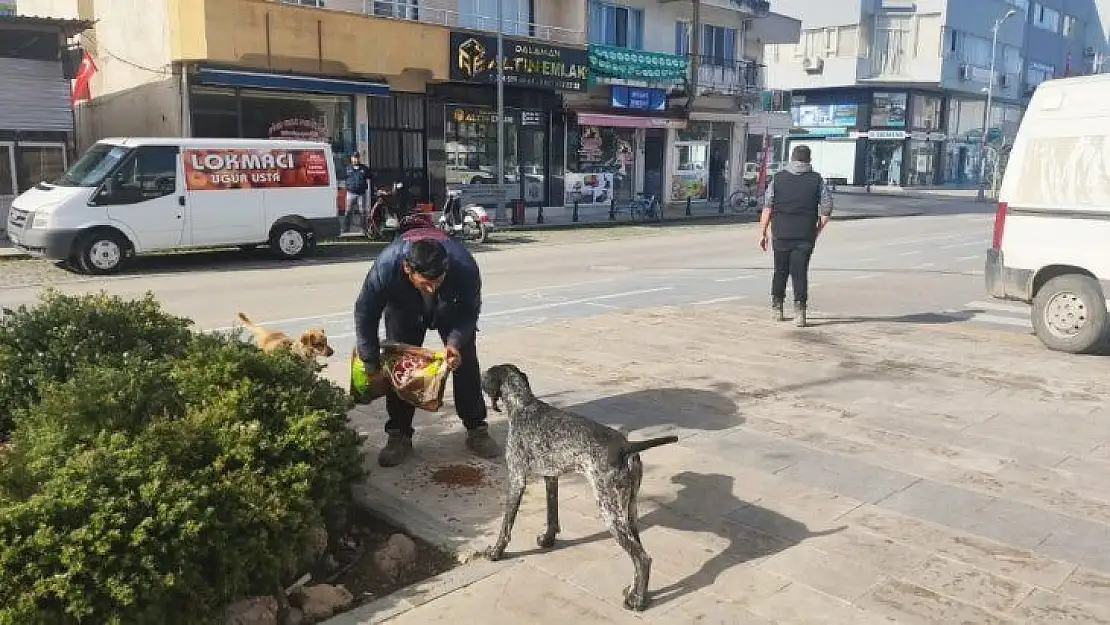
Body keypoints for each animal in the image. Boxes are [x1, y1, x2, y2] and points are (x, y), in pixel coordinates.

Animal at [483, 361, 679, 612]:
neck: (523, 405)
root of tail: (626, 446)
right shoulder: (551, 478)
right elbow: (552, 516)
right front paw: (548, 540)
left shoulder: (517, 479)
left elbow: (506, 526)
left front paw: (496, 552)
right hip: (629, 511)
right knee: (639, 555)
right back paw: (635, 592)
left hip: (609, 510)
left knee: (643, 559)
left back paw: (638, 602)